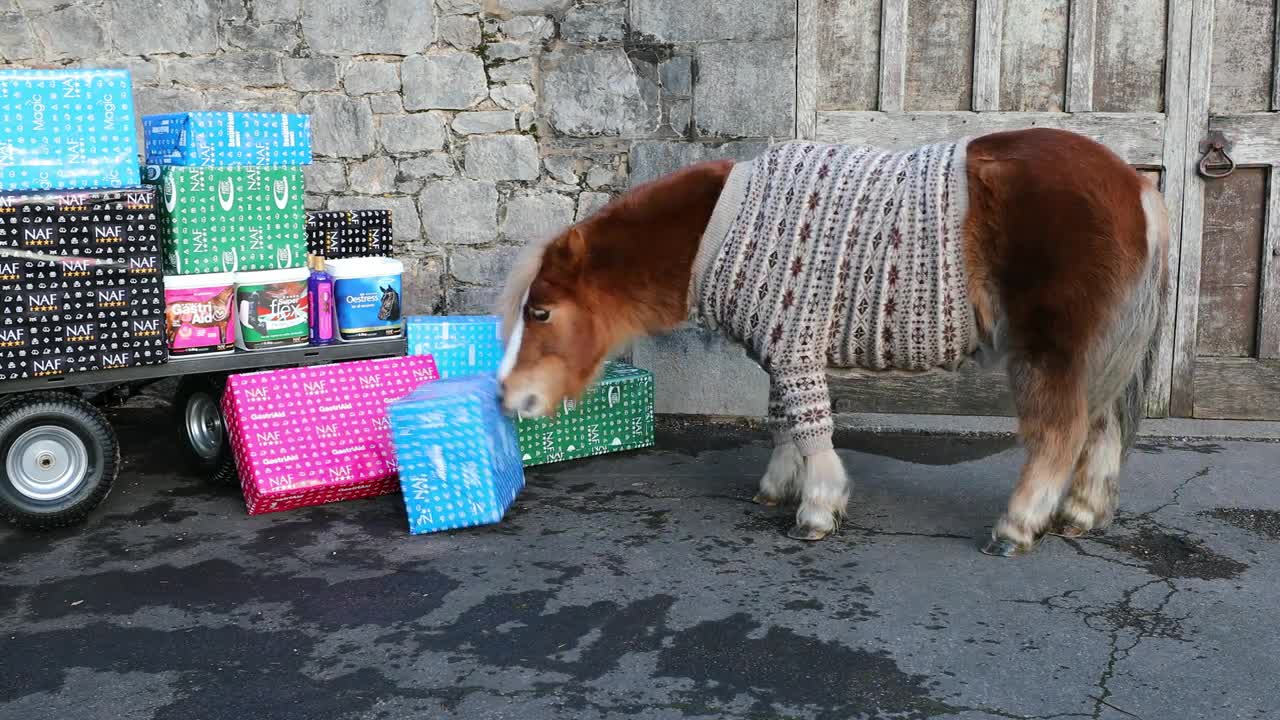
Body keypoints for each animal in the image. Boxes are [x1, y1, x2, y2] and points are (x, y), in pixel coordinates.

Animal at [496, 128, 1172, 556]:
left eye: (541, 311)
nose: (508, 398)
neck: (721, 227)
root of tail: (1137, 189)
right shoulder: (782, 353)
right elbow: (784, 423)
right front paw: (778, 489)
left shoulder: (795, 349)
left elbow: (810, 431)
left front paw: (817, 511)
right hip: (1100, 355)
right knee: (1103, 430)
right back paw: (1081, 514)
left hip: (1048, 352)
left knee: (1061, 435)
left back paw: (1017, 526)